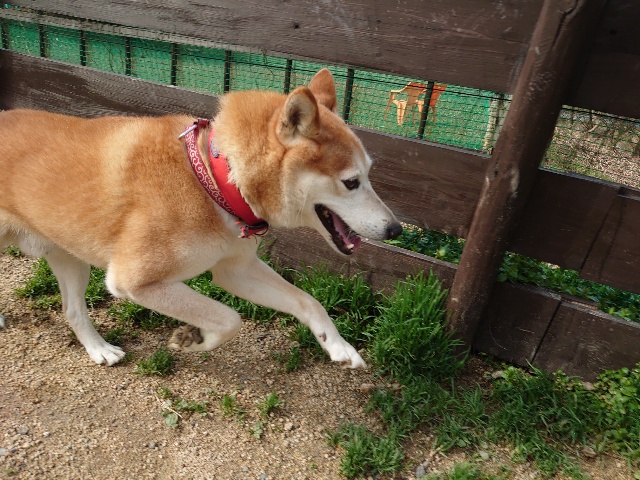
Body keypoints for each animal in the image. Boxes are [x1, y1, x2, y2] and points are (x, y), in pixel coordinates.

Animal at [0, 69, 402, 369]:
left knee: (72, 310)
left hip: (69, 257)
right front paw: (194, 338)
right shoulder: (135, 281)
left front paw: (337, 345)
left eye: (369, 173)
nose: (396, 228)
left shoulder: (235, 269)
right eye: (351, 182)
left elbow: (308, 302)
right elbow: (228, 318)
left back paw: (99, 349)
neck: (215, 179)